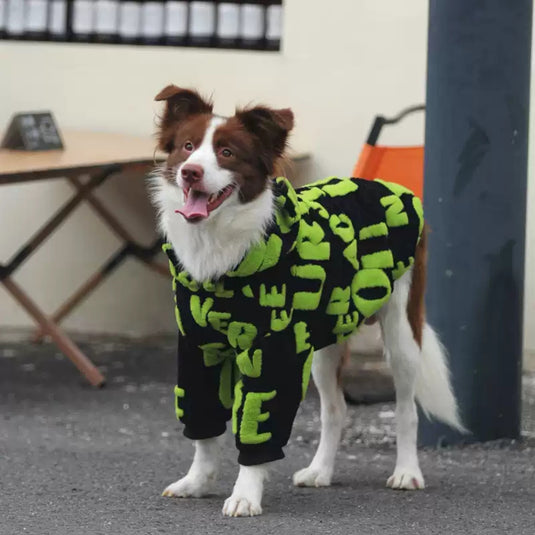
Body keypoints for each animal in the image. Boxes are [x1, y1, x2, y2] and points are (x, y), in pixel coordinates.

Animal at [150, 86, 464, 516]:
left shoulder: (273, 351)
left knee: (406, 408)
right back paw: (320, 471)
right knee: (336, 410)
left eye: (227, 152)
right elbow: (204, 424)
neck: (223, 250)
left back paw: (406, 472)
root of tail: (392, 188)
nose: (190, 172)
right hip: (324, 341)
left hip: (401, 333)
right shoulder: (200, 348)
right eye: (187, 146)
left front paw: (245, 494)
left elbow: (258, 423)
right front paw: (197, 481)